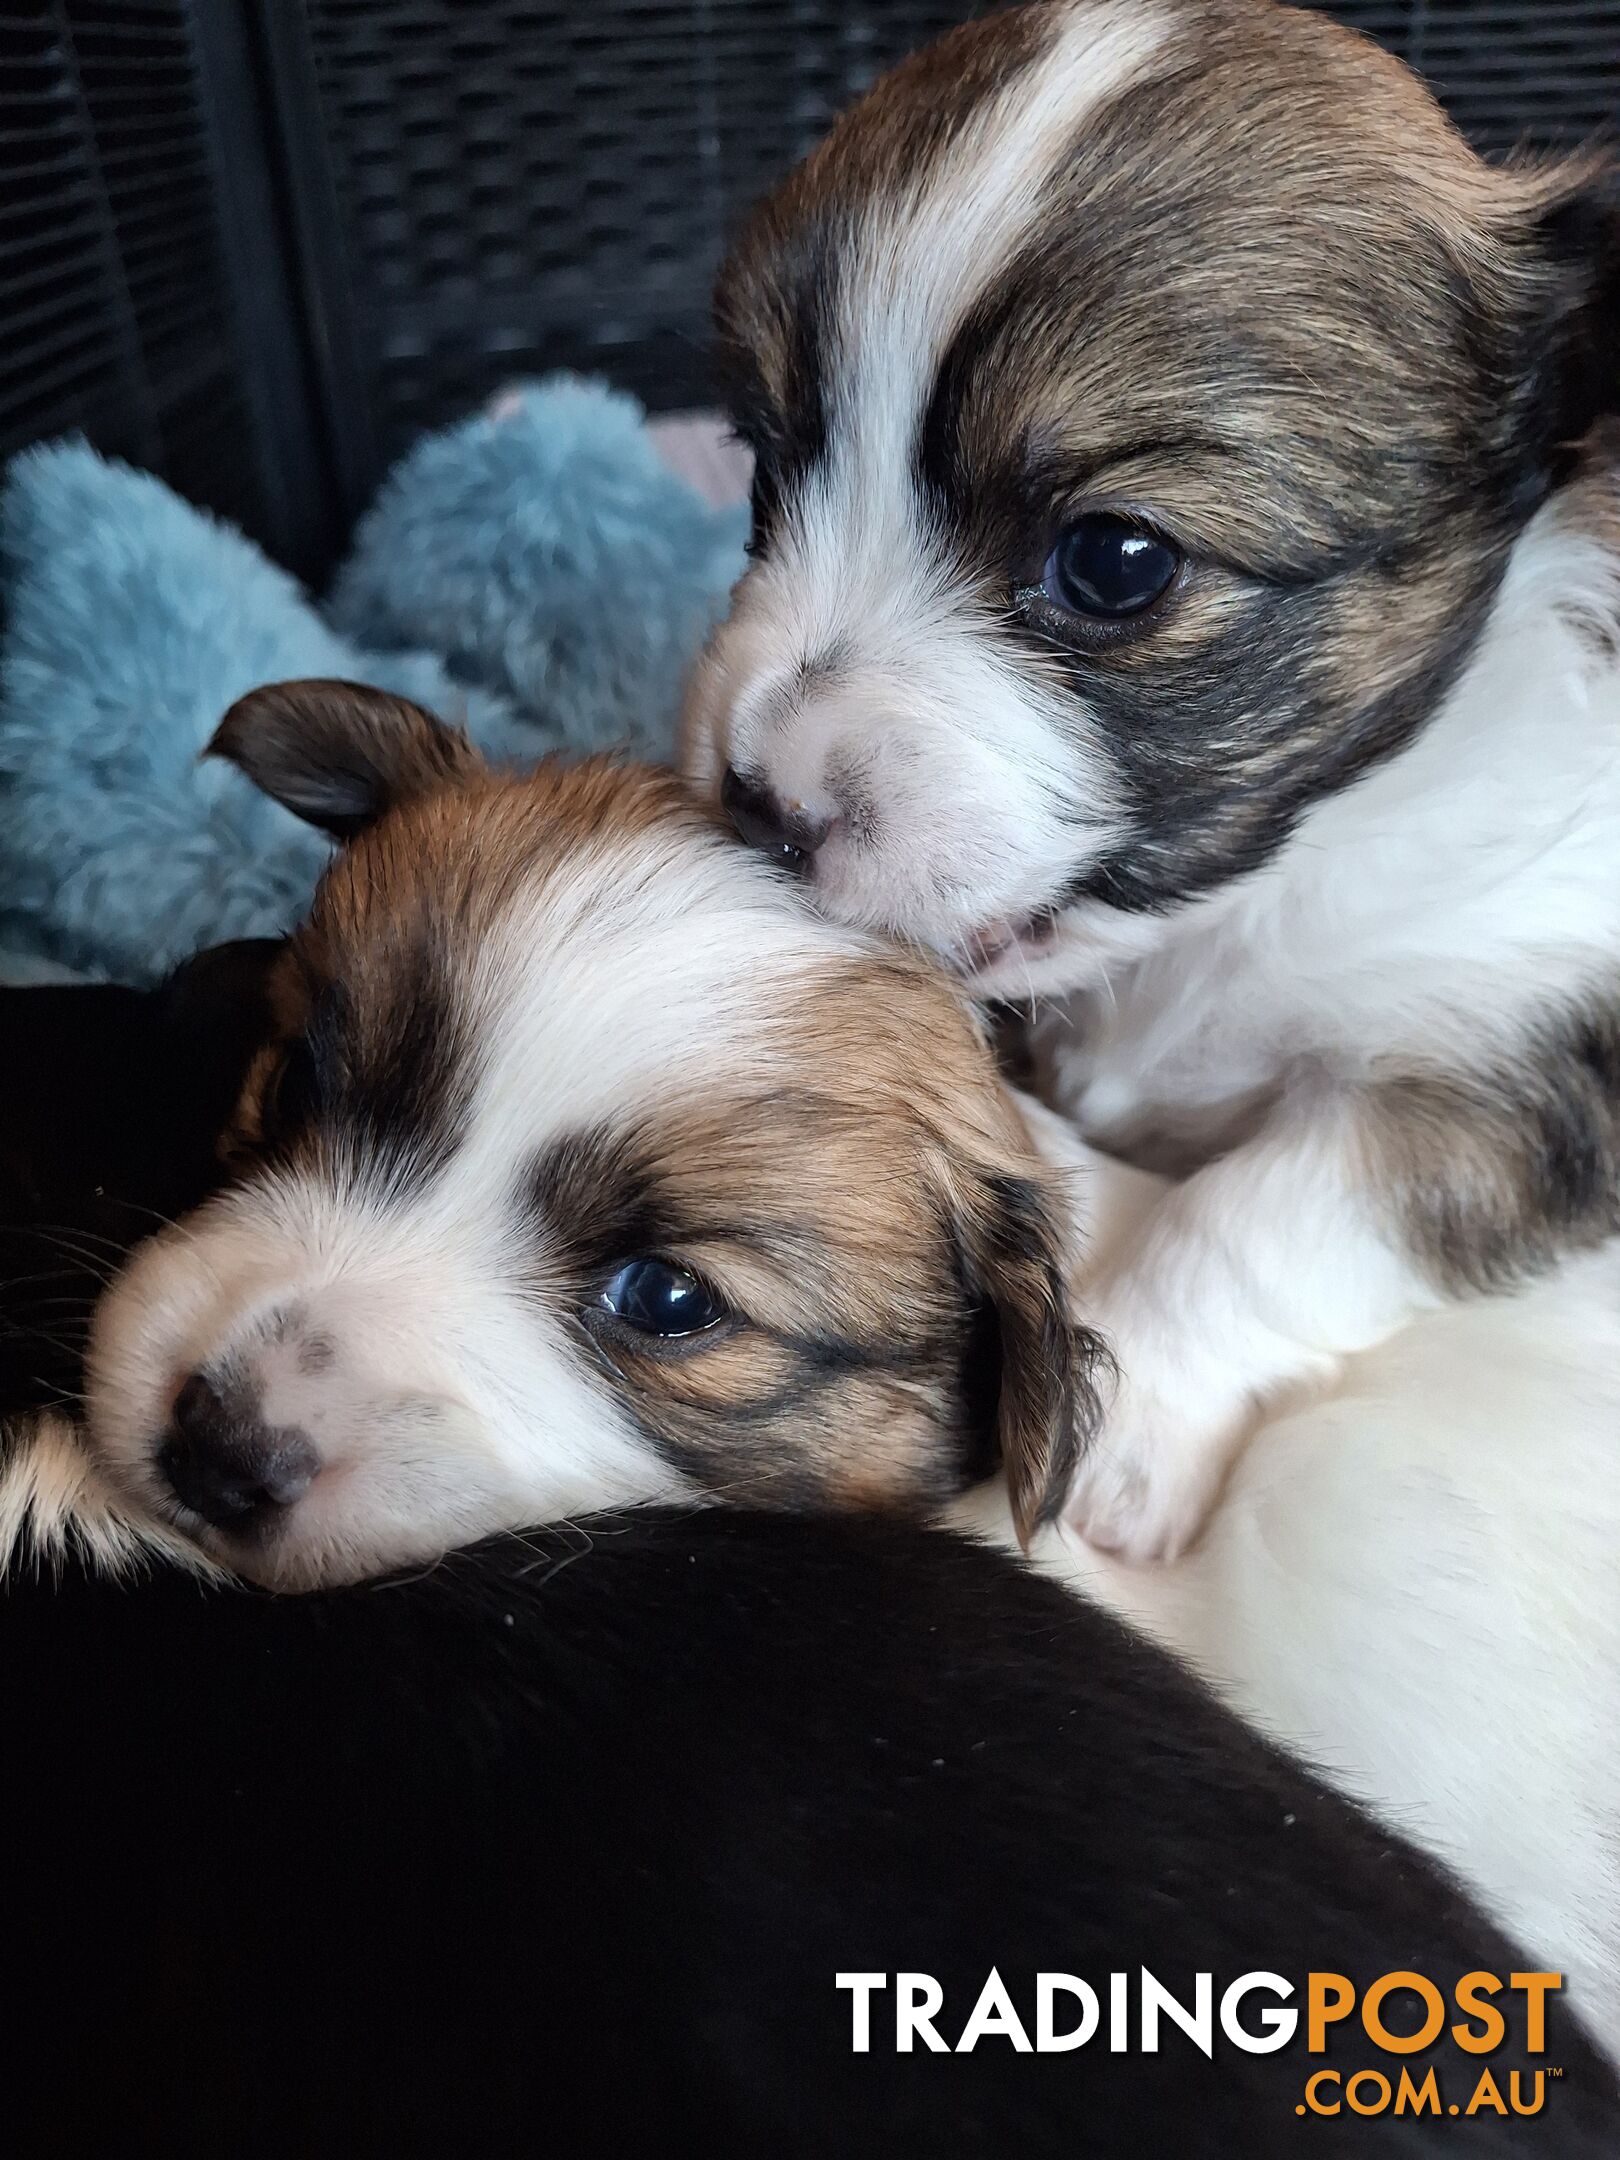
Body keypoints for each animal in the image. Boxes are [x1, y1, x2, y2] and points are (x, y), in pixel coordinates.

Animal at [686, 0, 1620, 1555]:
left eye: (1116, 563)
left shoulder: (1523, 1068)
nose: (756, 799)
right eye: (765, 471)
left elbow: (1268, 1204)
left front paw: (1128, 1429)